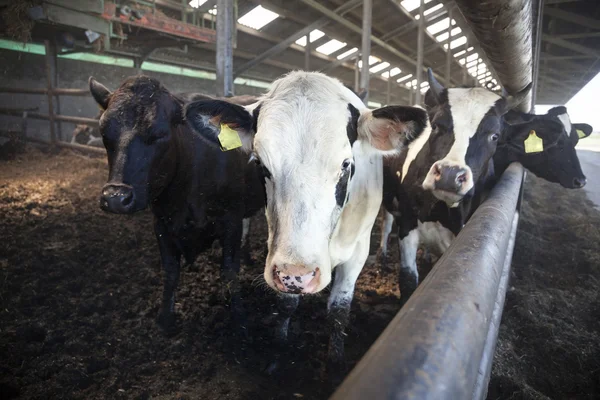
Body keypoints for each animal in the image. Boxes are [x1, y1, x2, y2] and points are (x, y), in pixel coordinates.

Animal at [88, 75, 262, 334]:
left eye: (160, 133)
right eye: (104, 133)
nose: (116, 197)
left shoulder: (231, 218)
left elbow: (229, 271)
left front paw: (239, 319)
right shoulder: (161, 222)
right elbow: (170, 271)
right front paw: (165, 318)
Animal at [184, 71, 432, 376]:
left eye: (346, 164)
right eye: (261, 165)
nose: (298, 275)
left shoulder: (358, 249)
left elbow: (339, 309)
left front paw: (335, 363)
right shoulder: (279, 255)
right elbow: (286, 304)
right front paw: (278, 354)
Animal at [380, 69, 528, 304]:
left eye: (494, 136)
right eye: (437, 126)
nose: (449, 175)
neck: (439, 210)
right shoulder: (408, 224)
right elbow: (407, 279)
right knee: (386, 223)